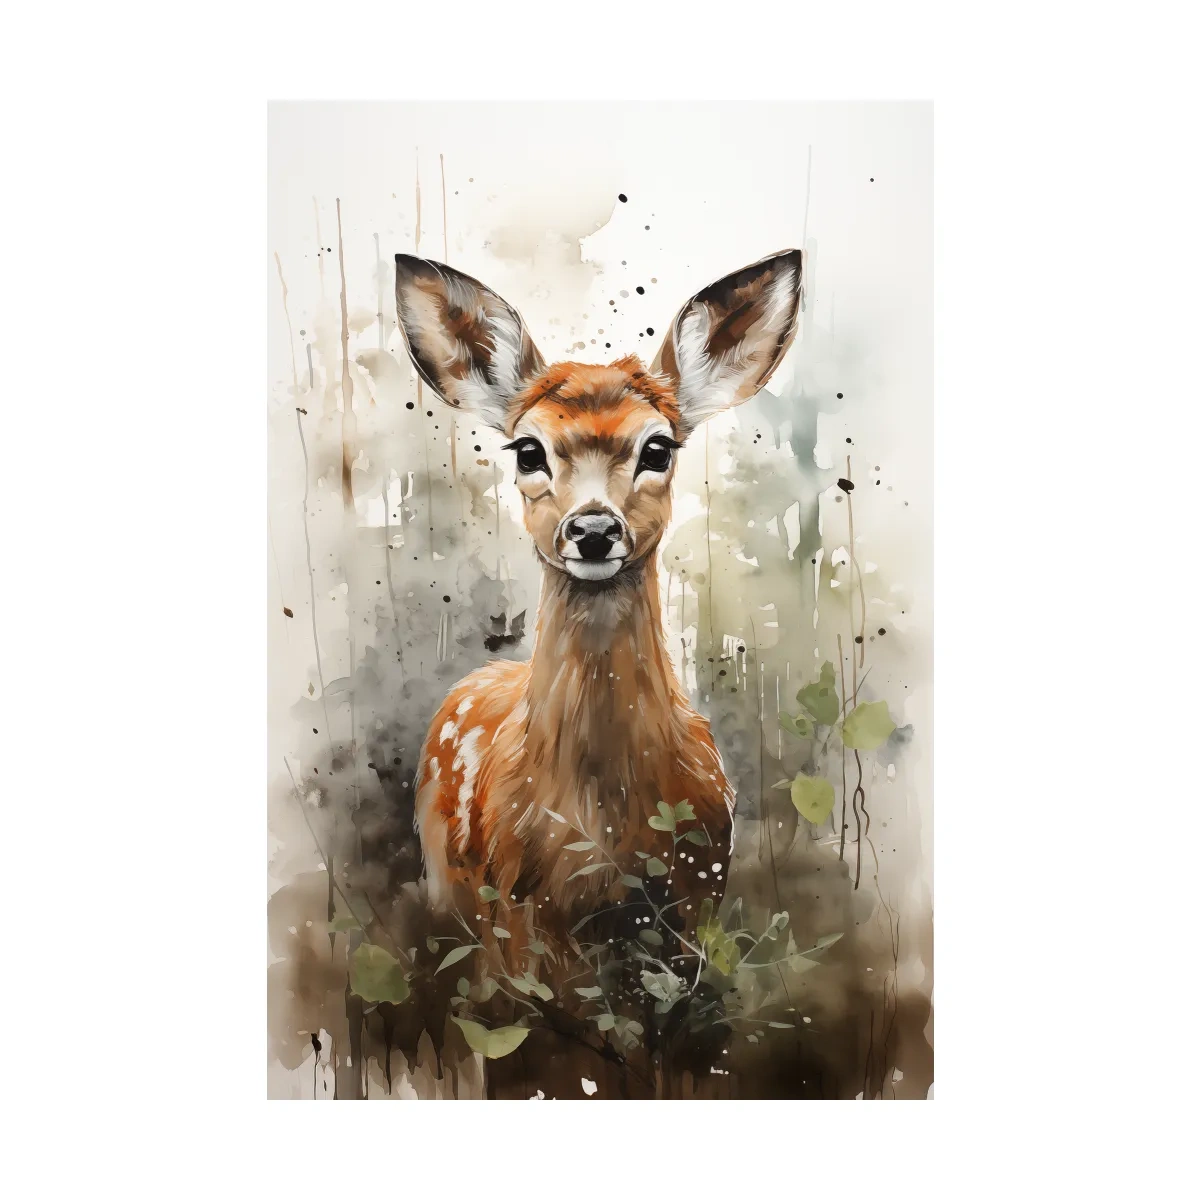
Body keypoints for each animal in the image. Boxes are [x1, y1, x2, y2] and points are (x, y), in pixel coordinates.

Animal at [394, 249, 804, 977]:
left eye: (658, 448)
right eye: (527, 450)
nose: (592, 530)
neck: (603, 830)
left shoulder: (698, 898)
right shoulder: (518, 914)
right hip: (448, 882)